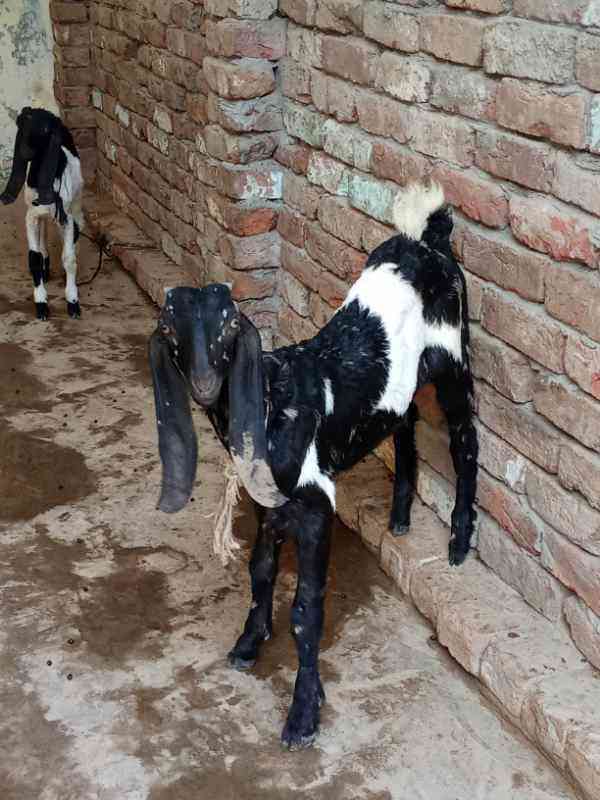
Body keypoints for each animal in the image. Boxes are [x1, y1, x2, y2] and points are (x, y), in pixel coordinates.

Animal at [0, 107, 84, 320]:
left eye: (46, 130)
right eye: (23, 125)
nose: (25, 151)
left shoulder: (66, 218)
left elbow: (69, 258)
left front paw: (73, 302)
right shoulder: (31, 216)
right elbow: (34, 257)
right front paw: (41, 303)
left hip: (76, 202)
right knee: (43, 232)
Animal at [149, 182, 478, 749]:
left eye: (231, 326)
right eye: (171, 326)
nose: (206, 383)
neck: (273, 399)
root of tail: (425, 236)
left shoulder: (318, 502)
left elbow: (306, 609)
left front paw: (303, 713)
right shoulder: (268, 498)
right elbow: (260, 569)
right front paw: (248, 641)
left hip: (453, 352)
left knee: (465, 437)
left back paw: (459, 539)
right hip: (402, 382)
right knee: (406, 421)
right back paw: (400, 517)